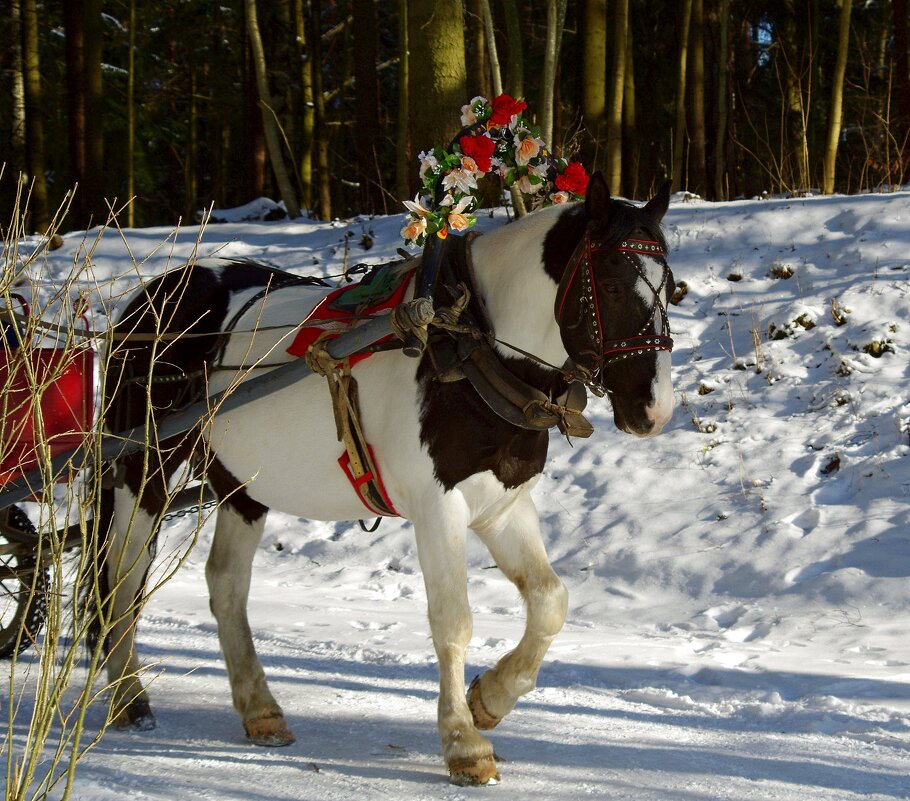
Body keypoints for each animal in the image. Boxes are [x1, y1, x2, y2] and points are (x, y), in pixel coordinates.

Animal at [94, 172, 676, 784]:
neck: (469, 346)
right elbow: (453, 621)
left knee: (226, 584)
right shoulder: (437, 507)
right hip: (142, 468)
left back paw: (260, 710)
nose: (655, 410)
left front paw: (489, 699)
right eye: (610, 285)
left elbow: (550, 602)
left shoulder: (501, 507)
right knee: (121, 581)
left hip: (240, 485)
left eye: (672, 288)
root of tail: (150, 296)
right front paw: (463, 743)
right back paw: (129, 699)